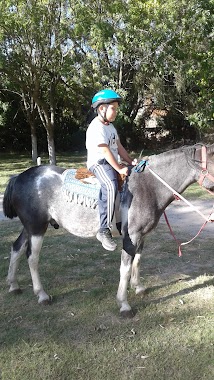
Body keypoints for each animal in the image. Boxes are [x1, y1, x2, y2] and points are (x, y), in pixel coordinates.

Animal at [2, 144, 214, 316]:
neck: (148, 186)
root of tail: (18, 177)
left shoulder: (141, 236)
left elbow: (137, 261)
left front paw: (138, 288)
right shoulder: (131, 236)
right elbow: (125, 268)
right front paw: (124, 305)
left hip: (29, 228)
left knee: (16, 248)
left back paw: (13, 285)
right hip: (37, 227)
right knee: (32, 257)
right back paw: (42, 295)